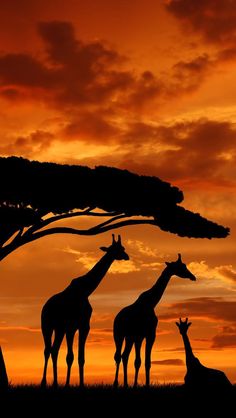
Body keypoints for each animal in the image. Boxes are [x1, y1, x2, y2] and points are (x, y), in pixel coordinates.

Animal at [40, 233, 129, 386]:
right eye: (118, 249)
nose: (126, 256)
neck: (85, 291)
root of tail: (44, 307)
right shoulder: (73, 326)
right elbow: (71, 356)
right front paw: (70, 384)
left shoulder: (81, 325)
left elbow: (79, 357)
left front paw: (76, 383)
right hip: (47, 326)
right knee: (47, 350)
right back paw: (44, 382)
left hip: (59, 329)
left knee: (54, 350)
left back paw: (56, 382)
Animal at [112, 255, 195, 388]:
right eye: (181, 267)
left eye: (185, 265)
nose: (193, 276)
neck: (151, 303)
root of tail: (117, 317)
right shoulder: (145, 335)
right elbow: (141, 361)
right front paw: (140, 385)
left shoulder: (146, 335)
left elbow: (144, 362)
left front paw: (141, 385)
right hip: (118, 335)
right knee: (118, 356)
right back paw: (116, 383)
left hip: (130, 337)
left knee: (125, 356)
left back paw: (125, 384)